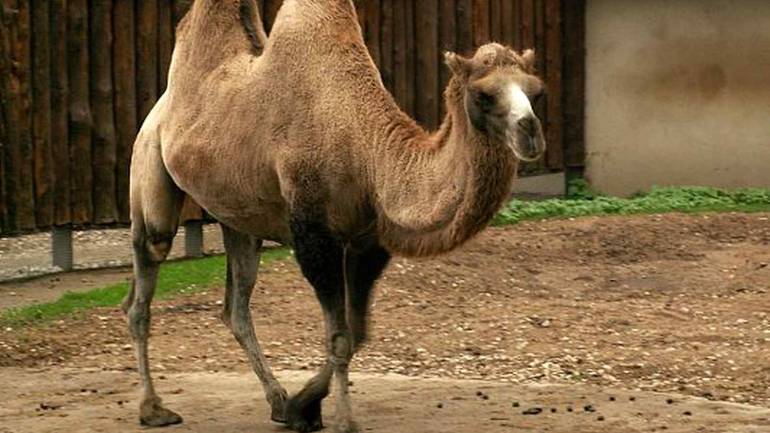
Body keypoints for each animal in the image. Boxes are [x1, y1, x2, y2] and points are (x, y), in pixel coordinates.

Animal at [123, 0, 546, 432]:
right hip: (149, 168)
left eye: (535, 91)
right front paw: (343, 419)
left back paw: (277, 402)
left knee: (235, 308)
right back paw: (153, 408)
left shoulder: (367, 243)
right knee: (144, 283)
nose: (531, 132)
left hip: (237, 217)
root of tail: (159, 107)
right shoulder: (314, 235)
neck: (367, 154)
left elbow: (356, 332)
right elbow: (339, 336)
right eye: (484, 94)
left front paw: (302, 408)